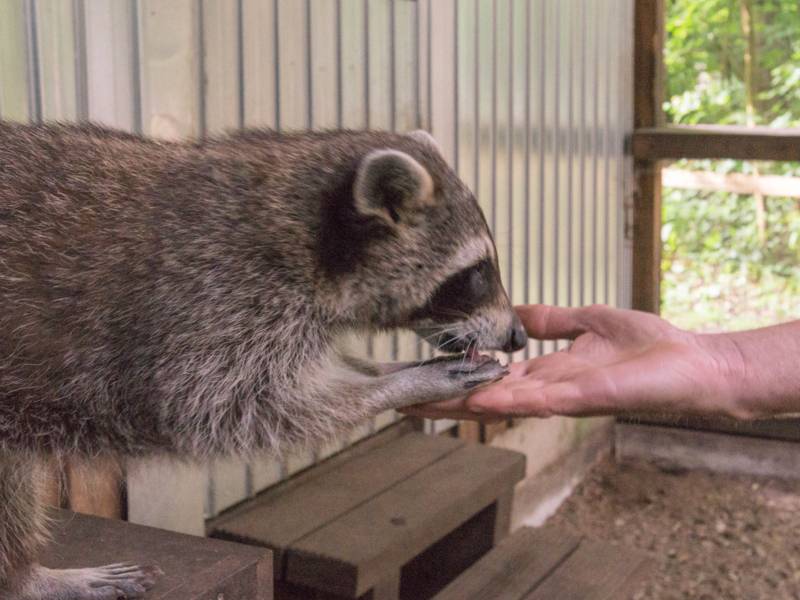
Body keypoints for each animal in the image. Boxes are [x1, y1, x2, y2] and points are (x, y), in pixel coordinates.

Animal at [0, 119, 524, 596]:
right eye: (476, 273)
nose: (518, 335)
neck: (303, 233)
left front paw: (387, 370)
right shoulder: (205, 303)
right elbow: (230, 410)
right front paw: (399, 386)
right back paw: (26, 577)